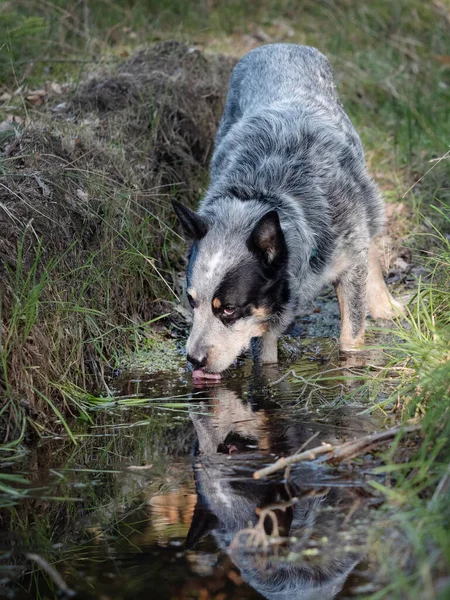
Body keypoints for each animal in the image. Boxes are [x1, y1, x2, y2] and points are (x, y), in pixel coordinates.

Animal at [172, 44, 400, 380]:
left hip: (363, 186)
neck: (266, 192)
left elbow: (352, 333)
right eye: (191, 301)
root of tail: (278, 45)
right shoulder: (264, 311)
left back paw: (385, 305)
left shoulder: (348, 257)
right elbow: (265, 357)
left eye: (228, 308)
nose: (194, 359)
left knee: (369, 234)